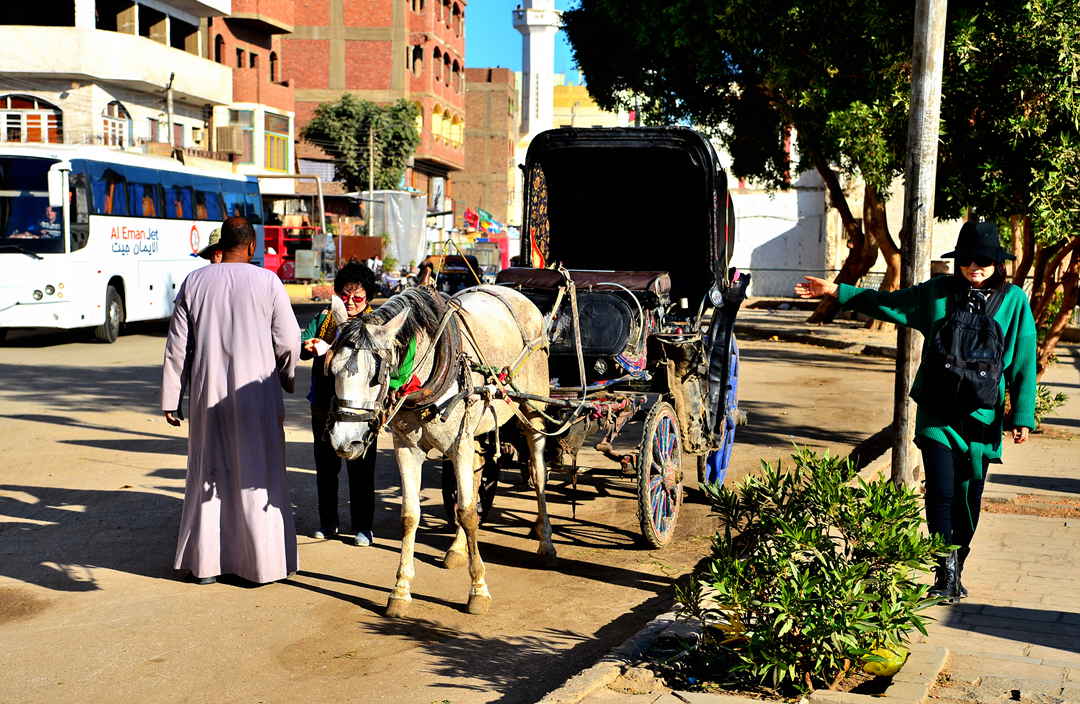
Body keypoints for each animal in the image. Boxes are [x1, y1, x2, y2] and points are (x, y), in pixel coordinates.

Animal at [324, 285, 557, 617]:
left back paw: (545, 543)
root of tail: (513, 292)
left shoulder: (458, 442)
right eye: (331, 370)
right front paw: (400, 590)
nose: (345, 443)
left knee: (538, 473)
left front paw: (479, 590)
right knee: (476, 473)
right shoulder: (407, 447)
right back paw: (458, 549)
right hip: (475, 428)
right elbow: (411, 514)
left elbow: (468, 512)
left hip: (533, 410)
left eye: (375, 376)